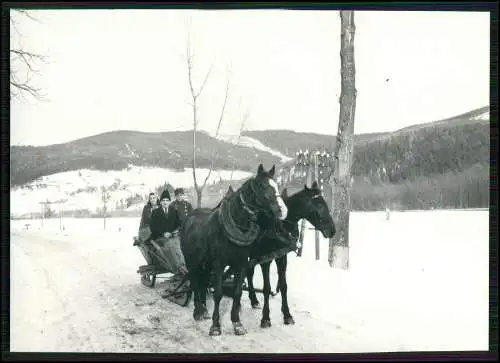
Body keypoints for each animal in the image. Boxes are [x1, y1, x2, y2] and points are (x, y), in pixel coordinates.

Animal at [181, 165, 290, 338]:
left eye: (277, 185)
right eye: (263, 186)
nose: (282, 210)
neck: (236, 227)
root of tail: (189, 217)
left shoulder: (242, 263)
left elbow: (238, 292)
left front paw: (237, 323)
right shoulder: (220, 264)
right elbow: (218, 293)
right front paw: (215, 326)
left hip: (206, 263)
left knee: (203, 282)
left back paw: (204, 309)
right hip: (191, 261)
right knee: (194, 282)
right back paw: (197, 311)